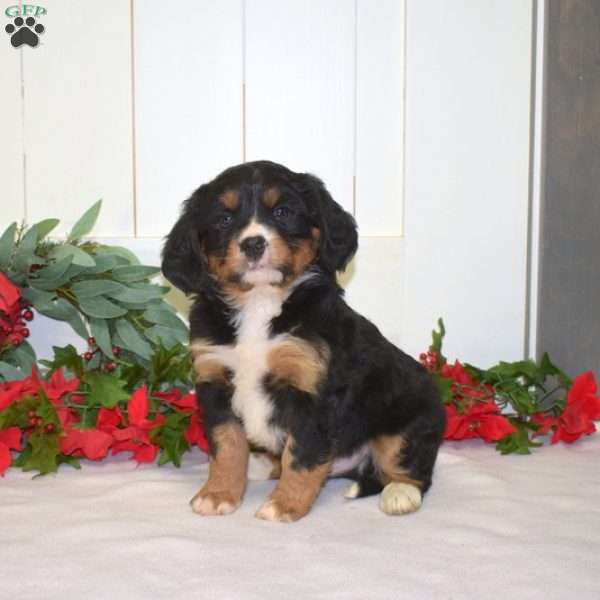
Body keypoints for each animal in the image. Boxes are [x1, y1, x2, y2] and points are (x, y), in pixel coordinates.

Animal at [162, 162, 448, 524]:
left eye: (283, 212)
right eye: (224, 219)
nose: (253, 243)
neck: (259, 304)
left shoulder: (313, 391)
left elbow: (301, 455)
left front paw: (284, 505)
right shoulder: (215, 380)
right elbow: (227, 445)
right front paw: (219, 494)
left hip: (411, 416)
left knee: (412, 466)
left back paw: (400, 493)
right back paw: (260, 465)